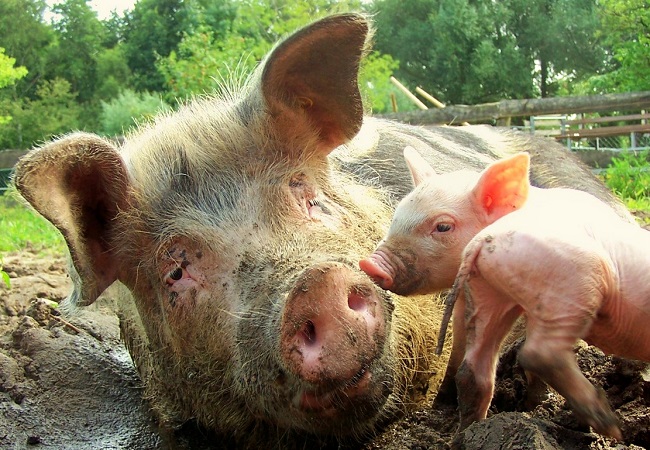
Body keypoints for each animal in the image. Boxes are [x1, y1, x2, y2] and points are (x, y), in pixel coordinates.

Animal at [360, 149, 648, 440]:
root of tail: (484, 238)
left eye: (442, 226)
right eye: (396, 216)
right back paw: (607, 425)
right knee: (538, 353)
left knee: (475, 369)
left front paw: (442, 405)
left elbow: (458, 347)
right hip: (574, 285)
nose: (369, 264)